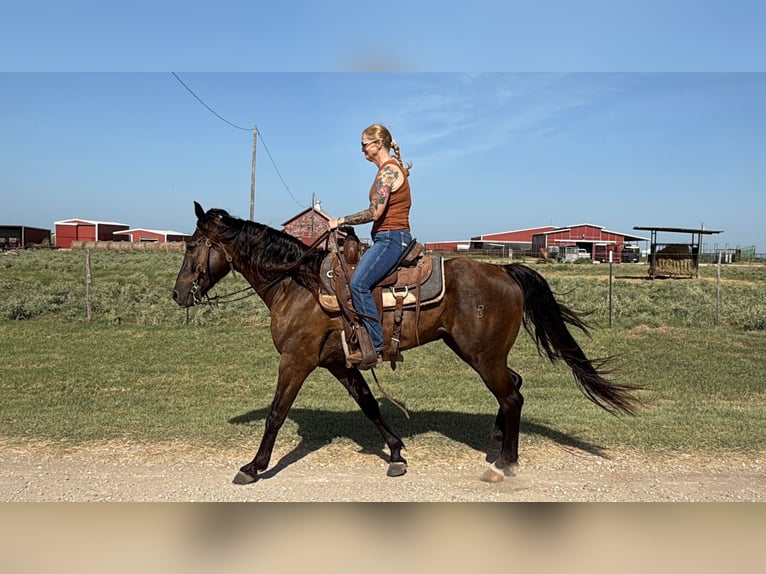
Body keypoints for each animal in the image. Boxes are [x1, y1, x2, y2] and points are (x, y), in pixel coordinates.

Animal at [173, 202, 640, 484]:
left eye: (193, 245)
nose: (178, 294)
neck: (297, 285)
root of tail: (505, 271)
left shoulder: (296, 359)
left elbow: (275, 415)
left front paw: (253, 467)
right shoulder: (339, 363)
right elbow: (369, 405)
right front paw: (396, 453)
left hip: (482, 356)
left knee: (511, 396)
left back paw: (505, 464)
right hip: (477, 351)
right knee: (517, 385)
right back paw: (496, 441)